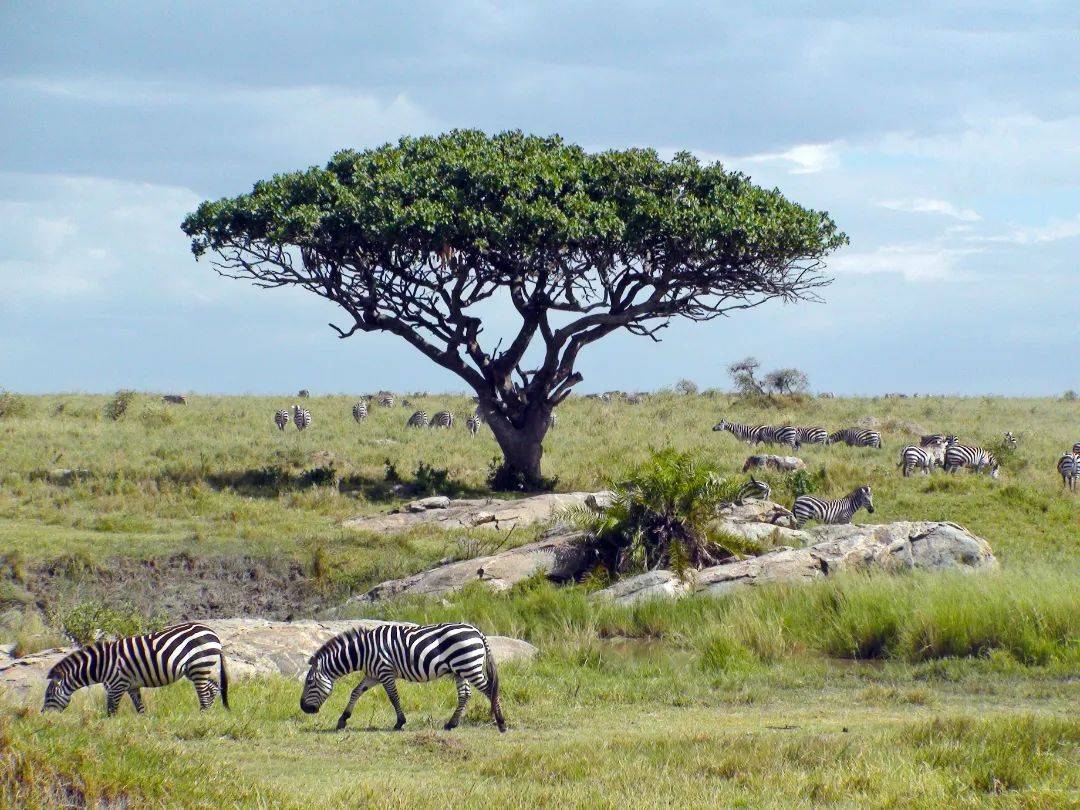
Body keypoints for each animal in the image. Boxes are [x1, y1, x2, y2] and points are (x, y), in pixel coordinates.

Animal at [42, 622, 227, 717]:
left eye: (49, 695)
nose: (43, 716)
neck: (101, 666)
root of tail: (212, 632)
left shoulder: (116, 685)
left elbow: (111, 711)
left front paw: (109, 730)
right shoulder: (131, 686)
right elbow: (140, 708)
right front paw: (142, 725)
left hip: (199, 664)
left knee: (204, 694)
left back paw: (201, 716)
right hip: (197, 669)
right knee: (213, 688)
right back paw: (208, 714)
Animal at [302, 622, 507, 734]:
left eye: (310, 682)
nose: (303, 708)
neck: (362, 651)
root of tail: (476, 631)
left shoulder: (385, 671)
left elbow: (393, 697)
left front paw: (399, 722)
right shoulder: (373, 675)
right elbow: (356, 692)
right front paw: (342, 720)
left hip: (469, 666)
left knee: (489, 690)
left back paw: (501, 723)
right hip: (460, 669)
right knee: (465, 694)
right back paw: (451, 724)